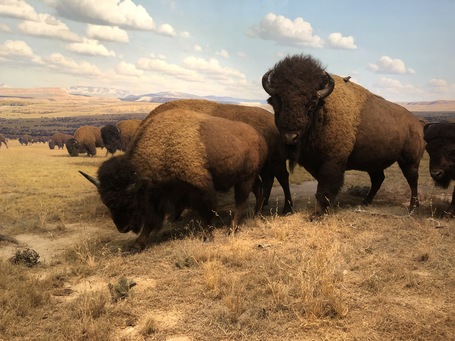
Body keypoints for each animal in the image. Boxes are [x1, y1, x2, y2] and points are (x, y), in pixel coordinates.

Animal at [80, 109, 268, 250]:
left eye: (130, 200)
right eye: (106, 202)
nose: (123, 228)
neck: (163, 145)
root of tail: (260, 138)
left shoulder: (199, 188)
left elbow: (207, 212)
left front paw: (207, 236)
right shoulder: (160, 195)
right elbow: (150, 221)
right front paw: (137, 245)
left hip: (245, 179)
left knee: (241, 202)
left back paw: (232, 229)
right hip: (248, 178)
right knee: (258, 191)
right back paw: (256, 215)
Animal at [262, 54, 426, 216]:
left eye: (311, 104)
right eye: (276, 103)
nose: (290, 137)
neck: (323, 110)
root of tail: (416, 123)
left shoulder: (333, 162)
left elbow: (325, 188)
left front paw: (317, 214)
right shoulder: (315, 164)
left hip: (409, 160)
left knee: (412, 179)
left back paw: (412, 207)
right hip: (374, 163)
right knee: (378, 179)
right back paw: (365, 202)